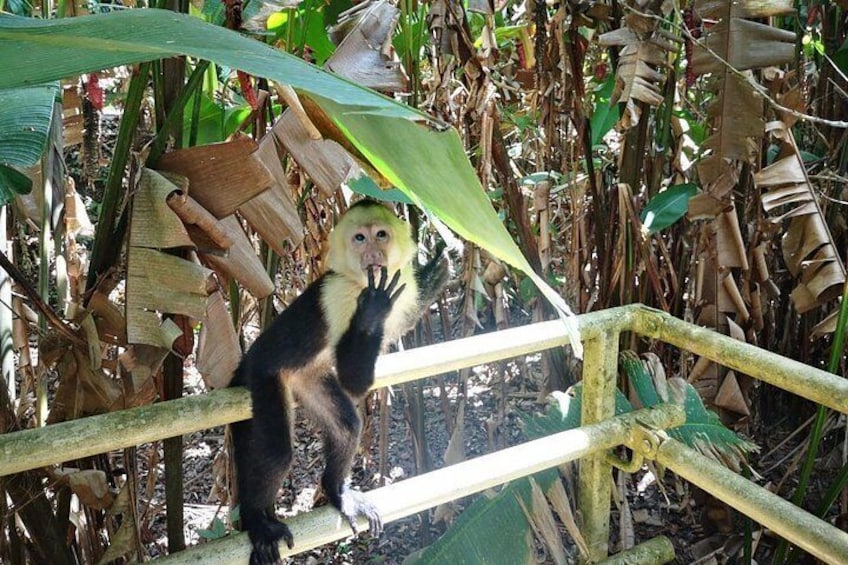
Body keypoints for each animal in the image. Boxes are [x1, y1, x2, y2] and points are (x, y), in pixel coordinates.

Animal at [229, 200, 449, 565]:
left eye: (381, 235)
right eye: (359, 238)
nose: (372, 252)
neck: (362, 283)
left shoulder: (401, 289)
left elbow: (396, 329)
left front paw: (442, 265)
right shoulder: (339, 295)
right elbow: (353, 379)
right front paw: (372, 311)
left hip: (308, 378)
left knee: (347, 425)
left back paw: (336, 491)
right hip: (261, 375)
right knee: (275, 452)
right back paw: (257, 520)